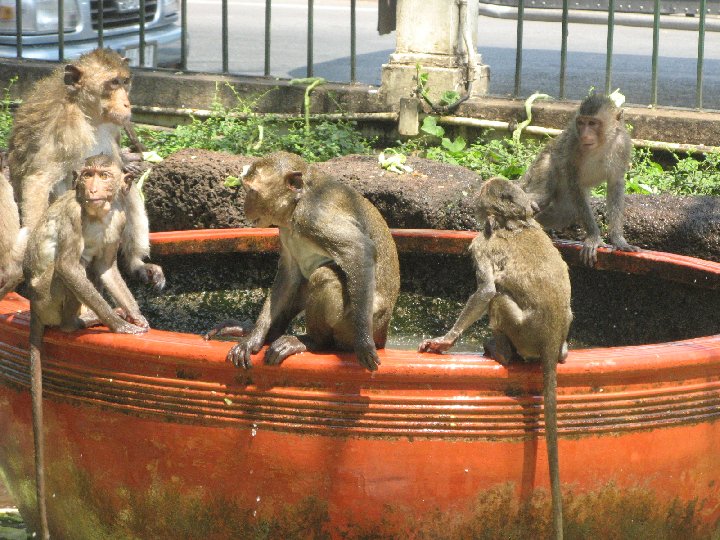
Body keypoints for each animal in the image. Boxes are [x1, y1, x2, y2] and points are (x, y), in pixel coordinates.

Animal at [2, 47, 165, 296]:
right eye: (112, 83)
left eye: (124, 81)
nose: (127, 105)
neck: (87, 112)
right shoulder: (65, 129)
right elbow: (38, 180)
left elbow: (118, 174)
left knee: (126, 192)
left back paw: (136, 264)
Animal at [10, 154, 149, 540]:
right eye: (86, 175)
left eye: (103, 175)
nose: (92, 187)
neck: (98, 214)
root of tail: (34, 310)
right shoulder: (74, 213)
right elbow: (71, 268)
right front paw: (118, 325)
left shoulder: (118, 219)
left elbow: (105, 268)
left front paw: (136, 317)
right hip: (47, 299)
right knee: (63, 270)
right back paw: (79, 324)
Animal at [205, 151, 402, 372]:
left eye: (252, 192)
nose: (245, 207)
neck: (296, 205)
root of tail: (383, 332)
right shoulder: (284, 228)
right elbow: (289, 275)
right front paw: (254, 337)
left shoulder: (313, 215)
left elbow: (359, 249)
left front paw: (363, 343)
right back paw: (265, 332)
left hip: (348, 328)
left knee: (324, 275)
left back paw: (314, 341)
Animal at [420, 177, 572, 540]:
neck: (515, 223)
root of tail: (551, 338)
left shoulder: (479, 244)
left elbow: (487, 290)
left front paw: (445, 341)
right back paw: (561, 353)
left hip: (523, 331)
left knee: (499, 297)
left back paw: (500, 350)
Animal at [516, 95, 640, 268]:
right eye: (581, 123)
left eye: (592, 123)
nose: (585, 135)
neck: (602, 144)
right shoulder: (573, 144)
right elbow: (575, 183)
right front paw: (594, 237)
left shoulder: (623, 145)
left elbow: (616, 185)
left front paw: (618, 240)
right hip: (544, 164)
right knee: (543, 196)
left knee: (564, 212)